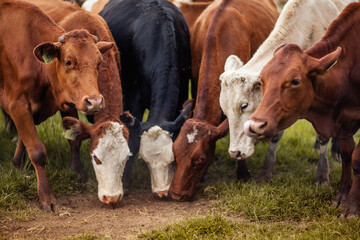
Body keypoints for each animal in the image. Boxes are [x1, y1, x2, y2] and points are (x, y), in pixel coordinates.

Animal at [0, 0, 114, 210]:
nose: (94, 101)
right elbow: (37, 150)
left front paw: (79, 174)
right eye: (68, 61)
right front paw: (46, 196)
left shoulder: (68, 101)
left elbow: (73, 138)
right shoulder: (17, 104)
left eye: (99, 62)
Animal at [98, 0, 194, 198]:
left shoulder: (182, 91)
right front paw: (125, 182)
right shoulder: (134, 96)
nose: (162, 192)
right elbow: (133, 139)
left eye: (171, 158)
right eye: (145, 160)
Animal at [218, 0, 356, 185]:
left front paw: (322, 174)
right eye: (224, 112)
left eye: (244, 105)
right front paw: (266, 171)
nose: (235, 153)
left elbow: (323, 136)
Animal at [243, 1, 360, 219]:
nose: (255, 125)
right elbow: (348, 155)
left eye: (295, 81)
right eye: (262, 79)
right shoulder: (343, 122)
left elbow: (357, 158)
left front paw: (352, 207)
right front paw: (342, 196)